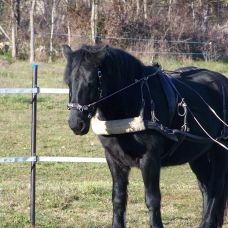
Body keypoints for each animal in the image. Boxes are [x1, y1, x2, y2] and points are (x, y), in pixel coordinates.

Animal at [62, 43, 228, 227]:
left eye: (90, 82)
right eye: (68, 82)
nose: (76, 123)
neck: (132, 104)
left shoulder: (150, 159)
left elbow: (152, 198)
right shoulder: (114, 159)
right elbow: (118, 198)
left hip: (220, 148)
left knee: (216, 185)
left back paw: (206, 222)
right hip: (197, 152)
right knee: (205, 185)